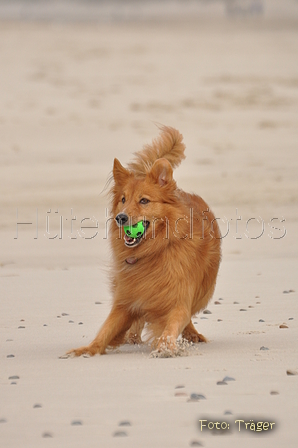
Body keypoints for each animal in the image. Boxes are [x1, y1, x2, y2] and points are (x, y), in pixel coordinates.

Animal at [68, 126, 221, 356]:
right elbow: (106, 329)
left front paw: (165, 346)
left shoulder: (179, 298)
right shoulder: (126, 300)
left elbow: (175, 321)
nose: (120, 217)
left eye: (144, 200)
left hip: (203, 290)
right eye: (123, 199)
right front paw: (88, 349)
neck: (153, 252)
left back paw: (191, 334)